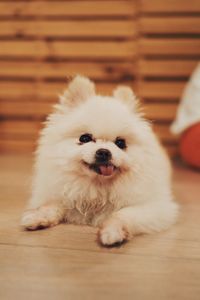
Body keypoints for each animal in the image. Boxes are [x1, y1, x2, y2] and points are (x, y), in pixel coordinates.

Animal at [21, 75, 178, 246]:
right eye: (84, 138)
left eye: (120, 143)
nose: (104, 152)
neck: (97, 188)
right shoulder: (62, 194)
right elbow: (50, 206)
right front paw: (37, 217)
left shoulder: (155, 208)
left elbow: (121, 214)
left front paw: (112, 232)